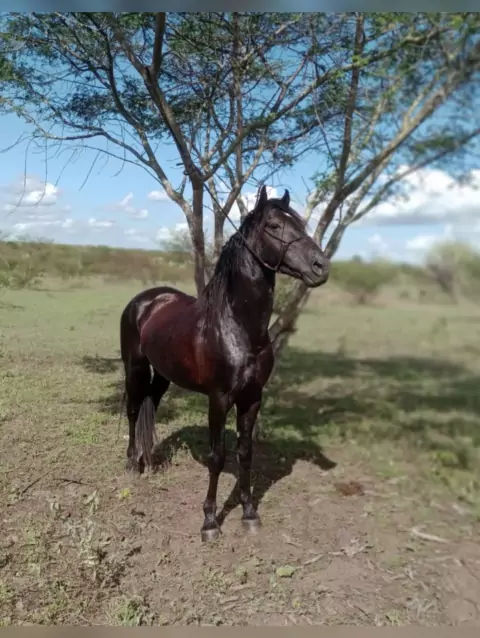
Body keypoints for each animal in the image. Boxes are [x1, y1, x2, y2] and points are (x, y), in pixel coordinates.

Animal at [119, 185, 330, 542]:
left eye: (300, 223)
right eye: (274, 225)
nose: (321, 266)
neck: (238, 328)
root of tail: (144, 300)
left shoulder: (252, 398)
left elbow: (245, 454)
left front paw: (248, 514)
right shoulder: (219, 399)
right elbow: (217, 457)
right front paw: (209, 522)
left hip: (162, 375)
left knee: (150, 406)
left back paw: (149, 461)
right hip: (134, 367)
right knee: (134, 411)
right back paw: (133, 464)